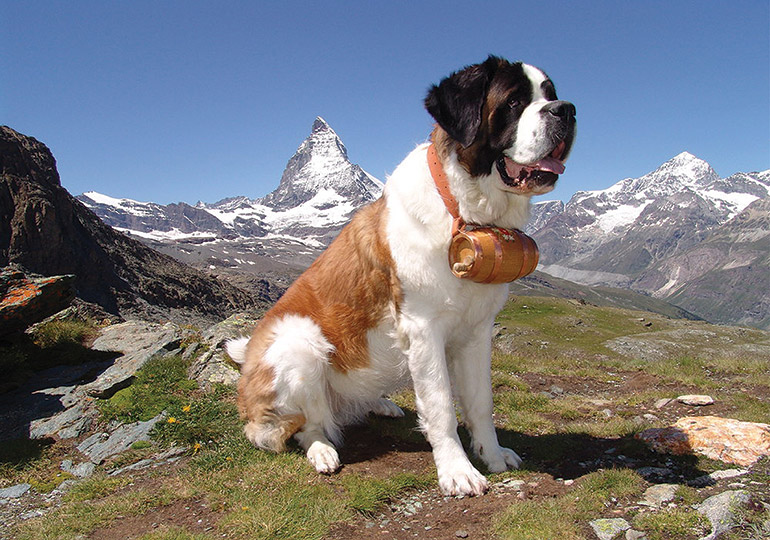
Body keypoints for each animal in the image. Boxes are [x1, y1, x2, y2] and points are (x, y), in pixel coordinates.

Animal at [225, 56, 572, 498]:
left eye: (549, 94)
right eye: (513, 102)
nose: (566, 110)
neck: (462, 207)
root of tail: (248, 359)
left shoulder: (477, 332)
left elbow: (480, 402)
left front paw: (492, 455)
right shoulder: (424, 329)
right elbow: (440, 406)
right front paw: (457, 471)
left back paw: (381, 404)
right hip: (299, 345)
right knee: (298, 428)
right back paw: (321, 450)